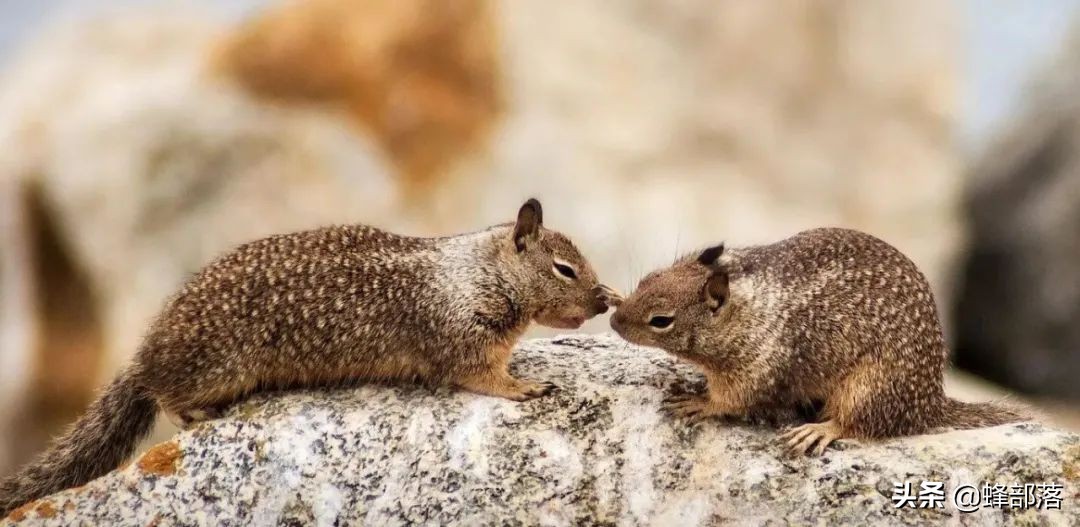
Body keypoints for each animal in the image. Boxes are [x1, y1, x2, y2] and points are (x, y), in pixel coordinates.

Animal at [0, 198, 617, 514]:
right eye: (564, 269)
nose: (602, 300)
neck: (478, 271)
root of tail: (147, 349)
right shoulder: (462, 337)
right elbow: (483, 376)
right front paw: (526, 386)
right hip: (214, 368)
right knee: (166, 395)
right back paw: (198, 412)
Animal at [613, 228, 1023, 455]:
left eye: (661, 321)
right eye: (648, 278)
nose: (615, 322)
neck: (746, 311)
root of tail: (930, 404)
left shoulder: (757, 369)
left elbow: (731, 400)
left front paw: (698, 402)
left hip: (868, 388)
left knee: (859, 425)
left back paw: (818, 430)